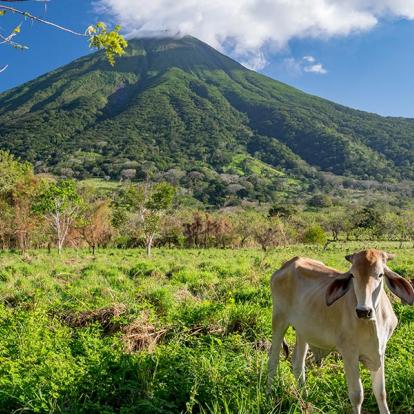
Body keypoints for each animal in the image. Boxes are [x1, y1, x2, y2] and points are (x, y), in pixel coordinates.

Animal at [266, 249, 412, 414]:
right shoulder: (349, 353)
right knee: (273, 360)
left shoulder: (380, 351)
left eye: (380, 274)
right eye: (353, 275)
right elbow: (357, 395)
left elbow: (380, 393)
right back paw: (269, 395)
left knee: (297, 363)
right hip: (279, 319)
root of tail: (286, 265)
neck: (372, 323)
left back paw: (305, 398)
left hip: (303, 331)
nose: (363, 311)